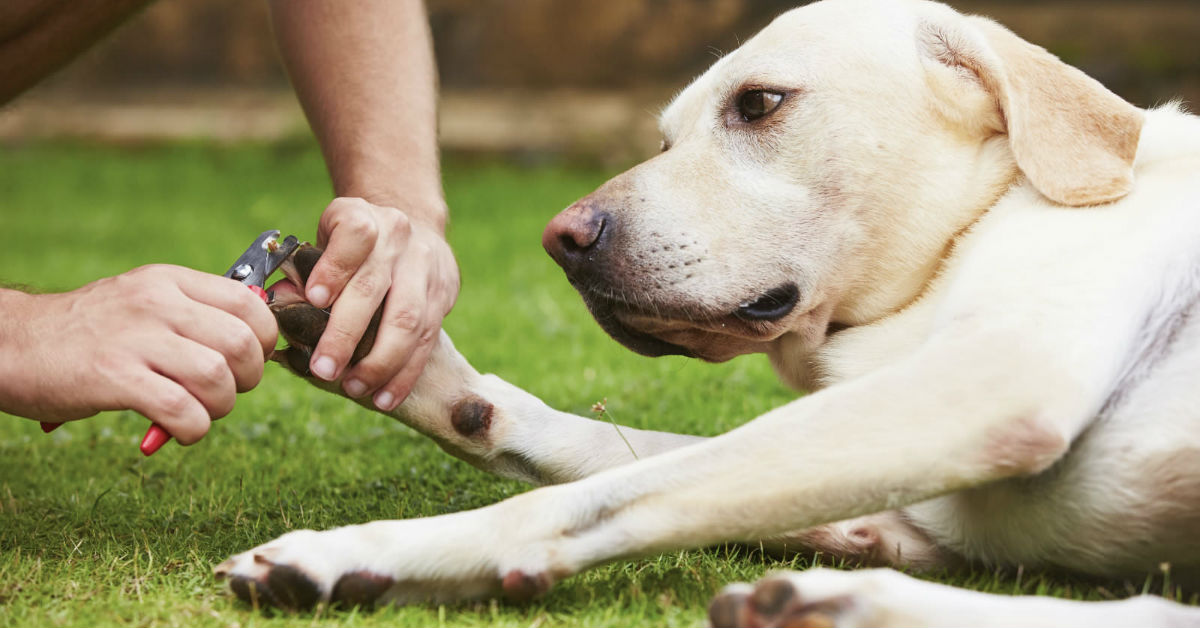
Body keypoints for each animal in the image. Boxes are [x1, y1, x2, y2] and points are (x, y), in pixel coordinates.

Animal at [213, 2, 1200, 624]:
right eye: (663, 139)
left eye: (759, 103)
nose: (562, 239)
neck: (969, 227)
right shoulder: (910, 508)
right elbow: (593, 450)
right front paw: (425, 372)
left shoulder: (996, 383)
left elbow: (587, 497)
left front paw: (356, 552)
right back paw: (833, 602)